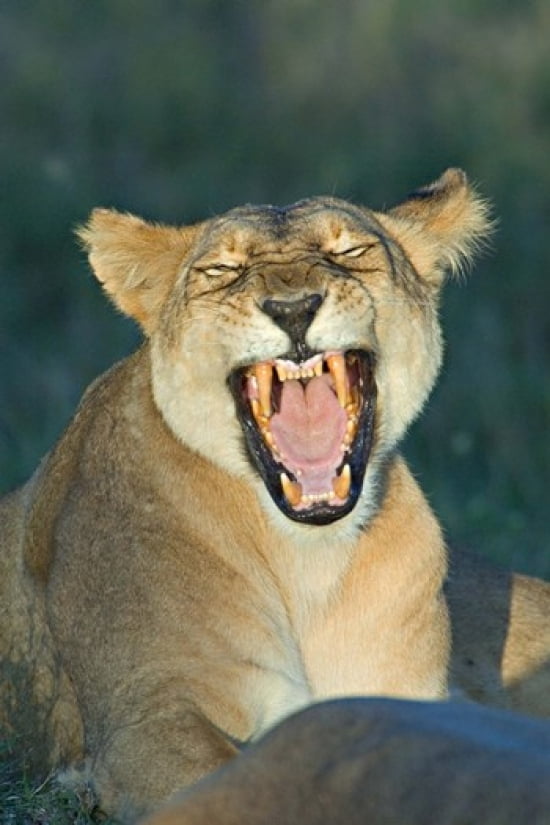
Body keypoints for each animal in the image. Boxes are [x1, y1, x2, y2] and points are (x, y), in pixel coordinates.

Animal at [1, 169, 549, 821]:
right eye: (221, 270)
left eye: (349, 252)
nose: (293, 308)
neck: (307, 560)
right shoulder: (142, 721)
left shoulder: (403, 698)